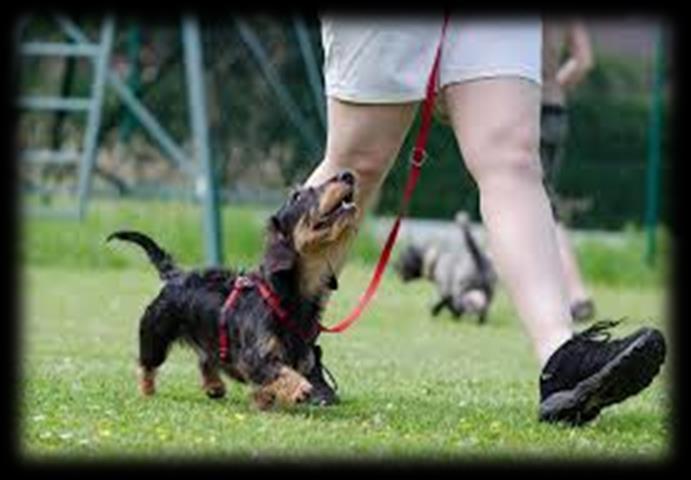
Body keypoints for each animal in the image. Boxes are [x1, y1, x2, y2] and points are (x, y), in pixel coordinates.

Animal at [108, 171, 360, 406]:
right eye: (297, 196)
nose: (347, 175)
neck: (284, 293)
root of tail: (176, 275)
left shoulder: (302, 354)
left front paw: (264, 399)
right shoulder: (254, 356)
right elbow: (279, 371)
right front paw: (300, 388)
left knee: (205, 359)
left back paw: (214, 386)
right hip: (155, 335)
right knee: (147, 365)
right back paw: (147, 391)